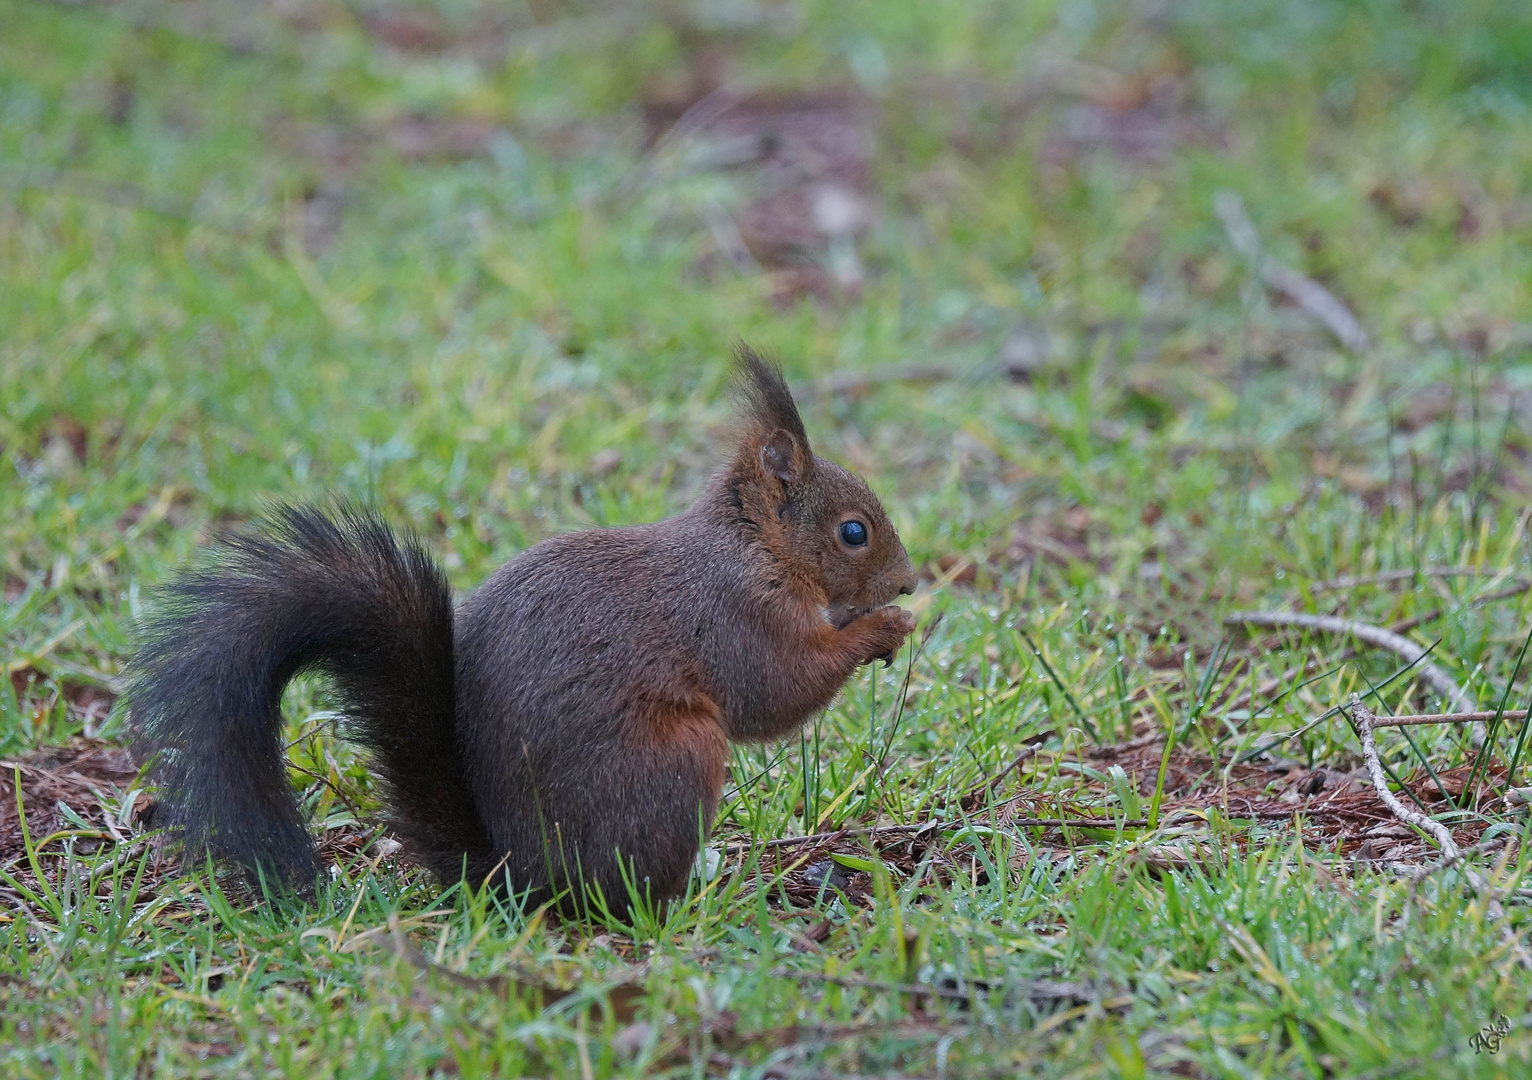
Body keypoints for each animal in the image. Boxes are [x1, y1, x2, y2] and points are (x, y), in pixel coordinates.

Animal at [128, 349, 906, 913]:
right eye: (854, 532)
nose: (906, 582)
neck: (755, 545)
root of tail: (519, 876)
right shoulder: (732, 612)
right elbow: (773, 692)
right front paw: (883, 629)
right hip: (674, 761)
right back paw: (690, 902)